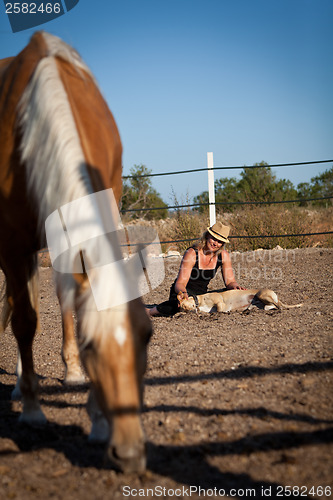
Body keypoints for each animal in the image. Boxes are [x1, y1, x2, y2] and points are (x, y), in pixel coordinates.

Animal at [0, 31, 152, 472]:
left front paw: (93, 413)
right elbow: (25, 321)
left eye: (147, 335)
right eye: (91, 346)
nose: (130, 453)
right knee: (17, 308)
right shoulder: (12, 243)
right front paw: (33, 410)